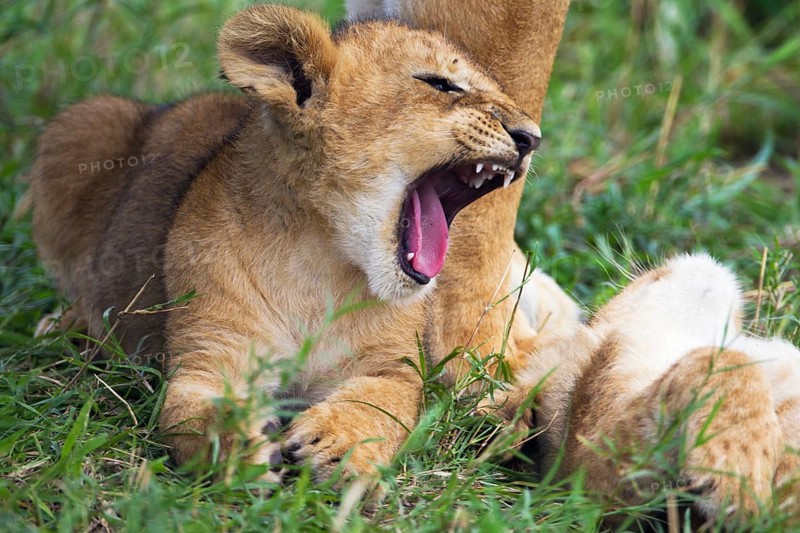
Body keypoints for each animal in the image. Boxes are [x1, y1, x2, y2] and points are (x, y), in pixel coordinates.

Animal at [29, 4, 553, 482]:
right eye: (440, 84)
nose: (531, 138)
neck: (321, 254)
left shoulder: (391, 365)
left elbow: (384, 401)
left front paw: (339, 443)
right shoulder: (210, 351)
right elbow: (189, 409)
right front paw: (238, 441)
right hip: (82, 123)